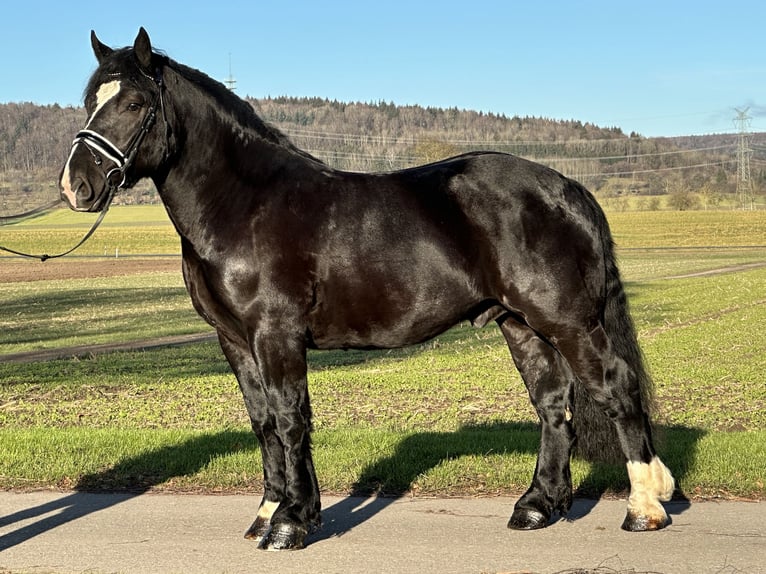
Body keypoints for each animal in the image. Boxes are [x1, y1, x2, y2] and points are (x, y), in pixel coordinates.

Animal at [60, 29, 676, 552]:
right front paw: (269, 513)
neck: (244, 204)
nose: (77, 186)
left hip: (567, 321)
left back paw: (644, 508)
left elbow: (290, 417)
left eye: (134, 104)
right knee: (553, 404)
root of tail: (567, 188)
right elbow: (263, 423)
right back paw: (538, 506)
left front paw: (292, 522)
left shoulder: (275, 334)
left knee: (615, 388)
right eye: (90, 100)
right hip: (520, 324)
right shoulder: (234, 341)